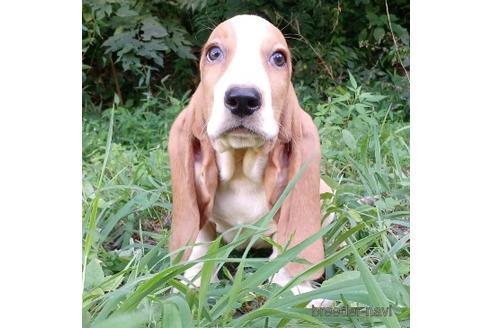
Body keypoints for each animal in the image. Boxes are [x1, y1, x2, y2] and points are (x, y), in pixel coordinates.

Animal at [167, 14, 332, 308]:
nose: (243, 98)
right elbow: (199, 247)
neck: (241, 168)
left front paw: (295, 292)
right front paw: (191, 288)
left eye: (279, 58)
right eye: (214, 53)